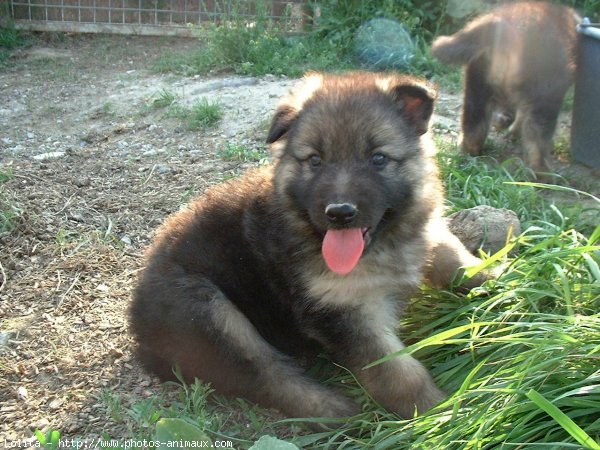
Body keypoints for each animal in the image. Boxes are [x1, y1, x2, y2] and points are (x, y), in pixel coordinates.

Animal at [129, 72, 490, 420]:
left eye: (378, 158)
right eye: (315, 160)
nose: (340, 213)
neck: (385, 243)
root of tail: (138, 324)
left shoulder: (425, 232)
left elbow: (454, 258)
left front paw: (494, 278)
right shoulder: (342, 310)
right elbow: (397, 371)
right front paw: (436, 413)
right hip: (210, 313)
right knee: (268, 375)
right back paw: (338, 414)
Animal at [432, 2, 580, 171]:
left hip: (477, 85)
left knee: (473, 126)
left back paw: (468, 154)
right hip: (545, 97)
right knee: (536, 140)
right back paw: (542, 173)